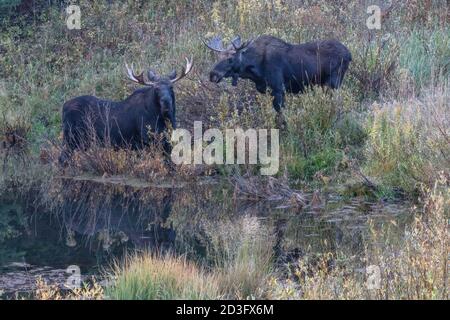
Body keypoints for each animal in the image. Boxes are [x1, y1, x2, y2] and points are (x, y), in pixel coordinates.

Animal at [59, 56, 192, 165]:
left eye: (171, 87)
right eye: (156, 89)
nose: (166, 102)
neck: (161, 118)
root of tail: (63, 107)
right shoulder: (146, 141)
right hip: (72, 138)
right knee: (62, 159)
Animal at [204, 34, 352, 112]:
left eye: (230, 59)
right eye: (218, 57)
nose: (213, 74)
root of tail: (349, 54)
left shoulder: (279, 89)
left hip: (333, 83)